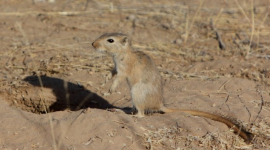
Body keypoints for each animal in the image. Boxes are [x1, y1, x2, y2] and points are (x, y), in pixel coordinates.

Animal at [92, 32, 253, 143]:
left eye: (110, 40)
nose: (93, 44)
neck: (122, 52)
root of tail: (160, 105)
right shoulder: (116, 67)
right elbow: (111, 72)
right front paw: (105, 79)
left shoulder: (123, 71)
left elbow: (118, 78)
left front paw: (111, 89)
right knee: (134, 110)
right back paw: (119, 109)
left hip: (136, 92)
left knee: (140, 114)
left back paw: (124, 113)